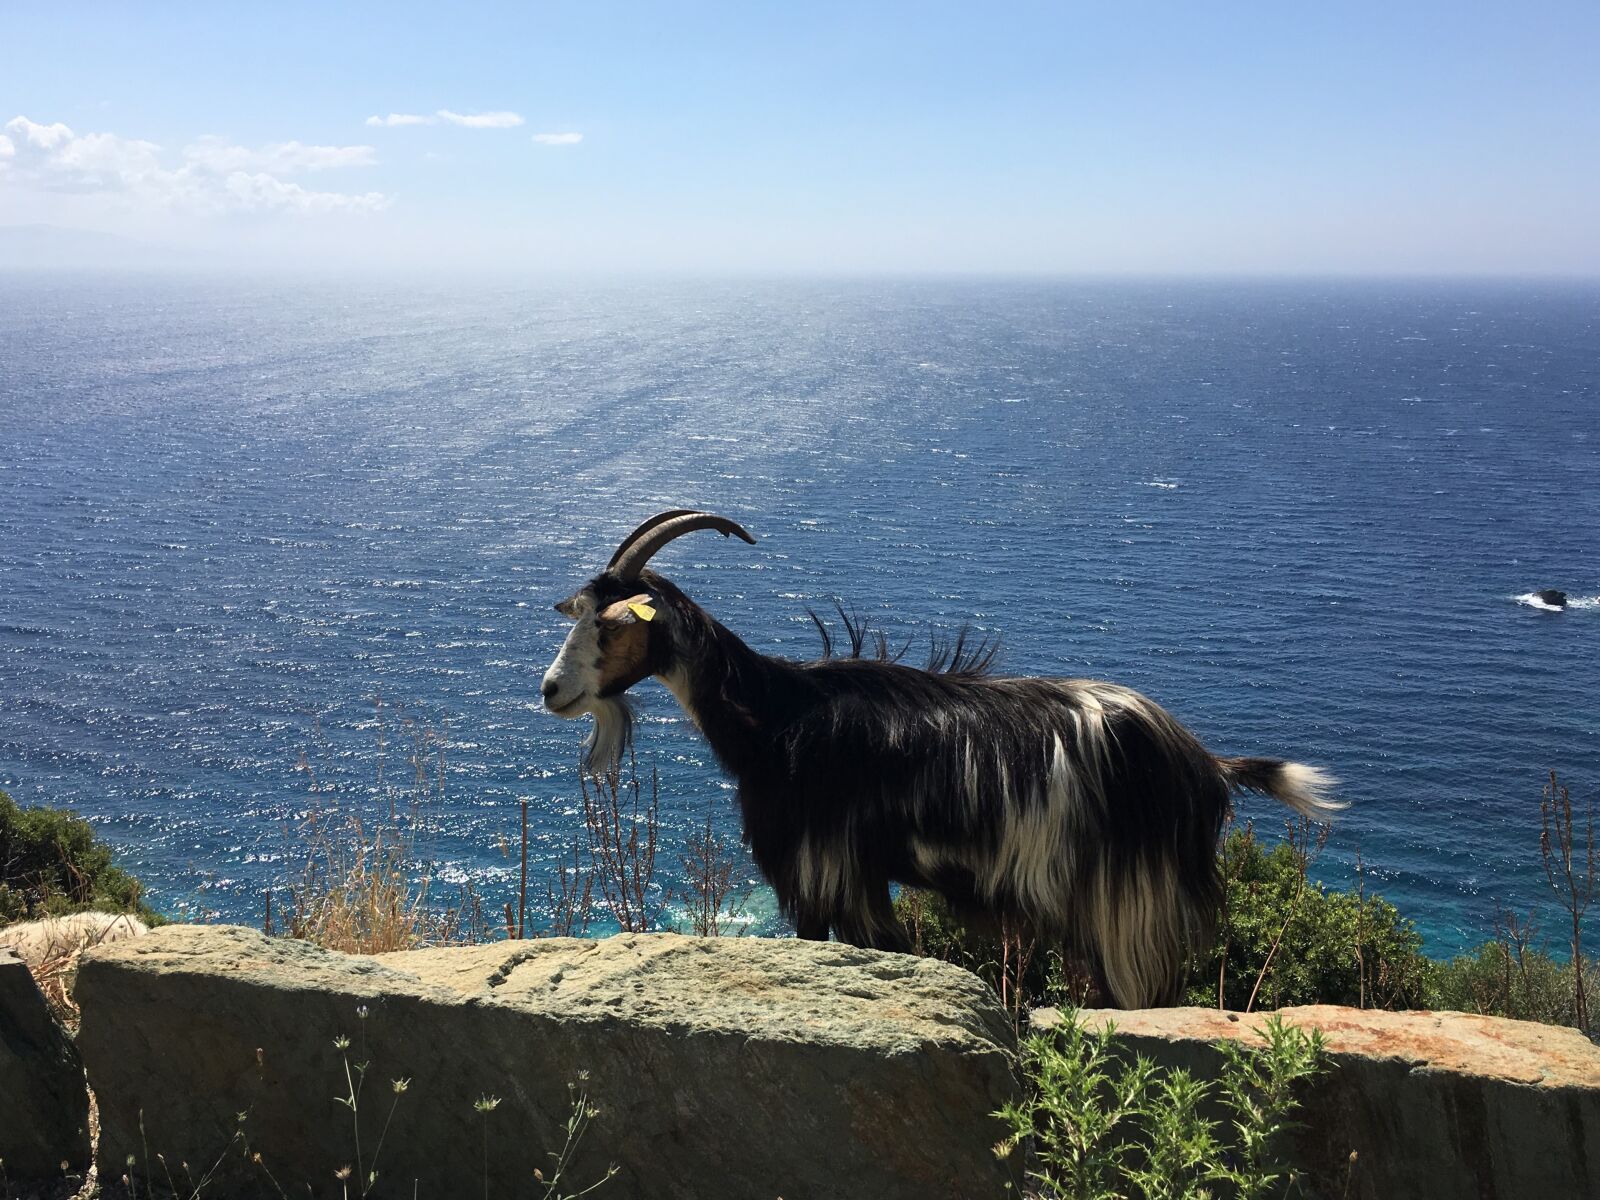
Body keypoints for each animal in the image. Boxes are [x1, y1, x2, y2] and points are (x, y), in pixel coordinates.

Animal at [540, 509, 1340, 1007]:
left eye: (612, 626)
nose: (551, 690)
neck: (777, 717)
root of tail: (1201, 763)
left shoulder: (819, 867)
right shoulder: (858, 875)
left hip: (1127, 904)